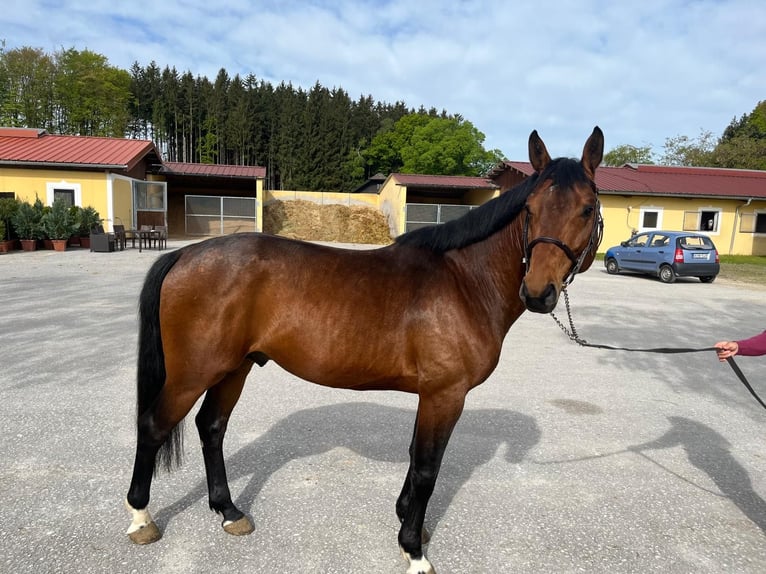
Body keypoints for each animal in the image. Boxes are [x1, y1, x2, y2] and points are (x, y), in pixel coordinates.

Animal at [124, 128, 608, 572]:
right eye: (530, 209)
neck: (465, 282)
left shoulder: (432, 396)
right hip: (194, 372)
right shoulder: (445, 395)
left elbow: (415, 459)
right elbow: (428, 469)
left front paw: (407, 525)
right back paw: (141, 518)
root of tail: (184, 255)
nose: (539, 293)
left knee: (211, 427)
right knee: (153, 426)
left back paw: (229, 512)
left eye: (587, 208)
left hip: (234, 368)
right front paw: (414, 551)